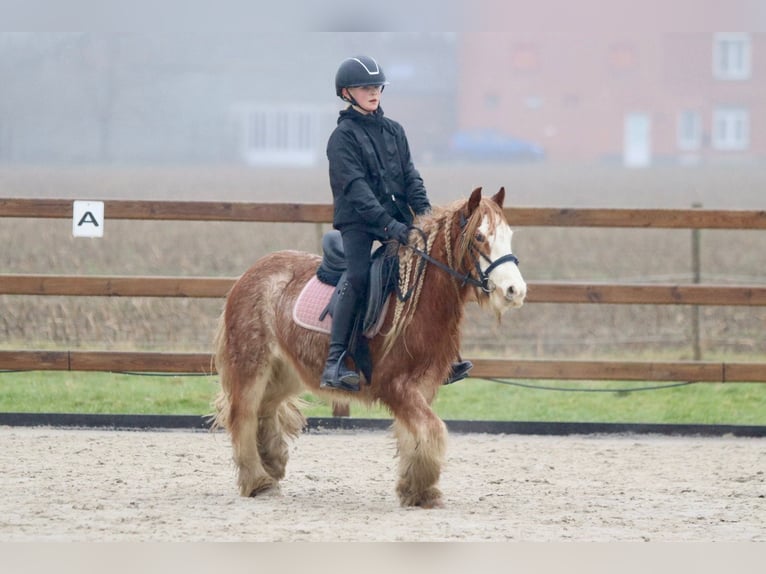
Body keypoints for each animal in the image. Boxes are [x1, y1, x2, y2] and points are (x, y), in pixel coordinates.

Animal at [214, 188, 528, 508]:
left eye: (508, 235)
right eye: (479, 237)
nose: (515, 291)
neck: (416, 299)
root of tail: (250, 274)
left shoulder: (423, 385)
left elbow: (414, 434)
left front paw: (416, 489)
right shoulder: (395, 386)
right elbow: (432, 429)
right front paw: (423, 485)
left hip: (287, 371)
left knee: (266, 408)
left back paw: (272, 462)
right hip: (252, 364)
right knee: (243, 415)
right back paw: (258, 481)